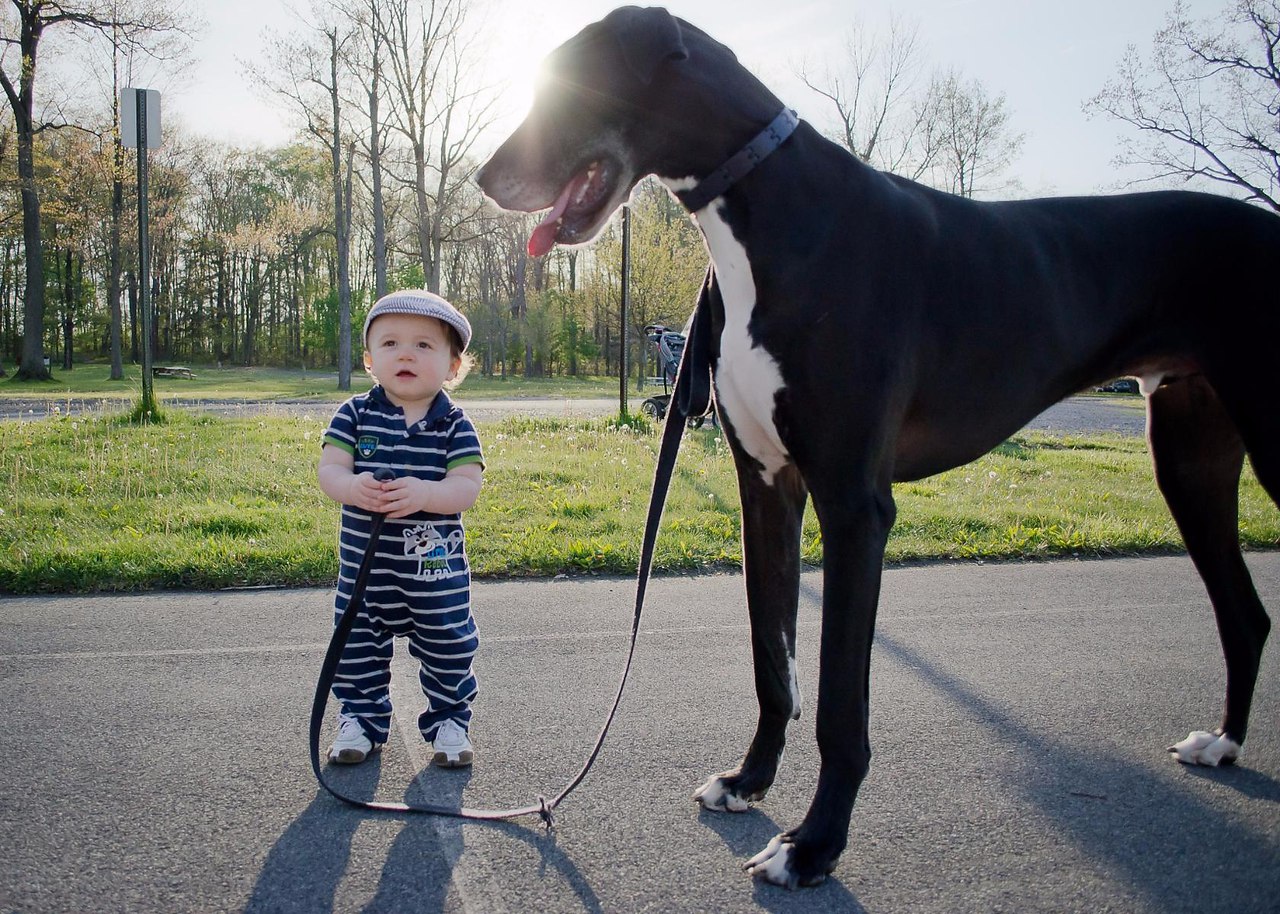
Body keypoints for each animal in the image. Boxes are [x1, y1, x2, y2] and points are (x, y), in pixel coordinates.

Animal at [476, 5, 1274, 880]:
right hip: (1188, 458)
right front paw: (750, 781)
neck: (769, 208)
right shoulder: (766, 489)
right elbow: (772, 660)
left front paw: (814, 845)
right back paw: (1224, 743)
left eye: (569, 83)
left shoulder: (855, 506)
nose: (484, 177)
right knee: (1246, 614)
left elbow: (836, 702)